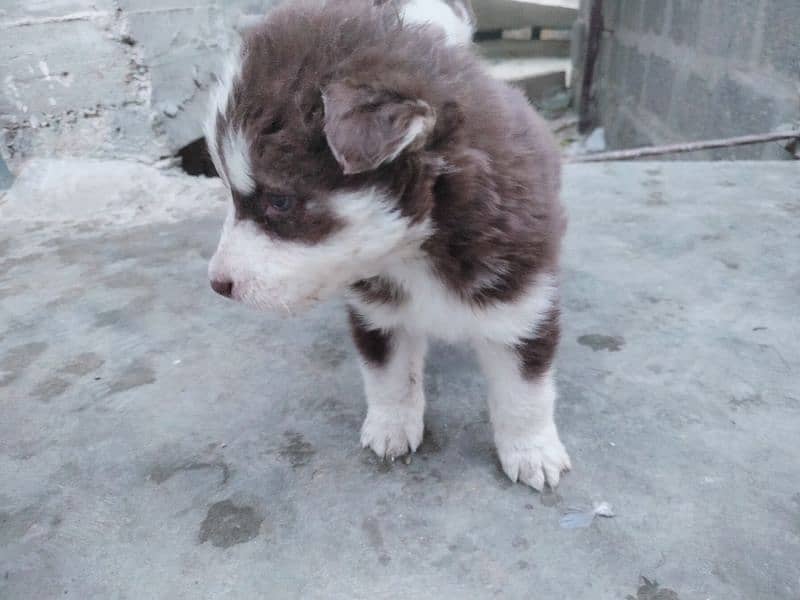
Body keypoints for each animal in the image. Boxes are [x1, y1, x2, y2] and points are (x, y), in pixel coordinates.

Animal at [206, 0, 568, 492]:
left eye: (279, 201)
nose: (216, 284)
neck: (415, 251)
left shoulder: (520, 308)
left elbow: (523, 396)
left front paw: (532, 452)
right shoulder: (378, 313)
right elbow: (390, 379)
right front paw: (392, 426)